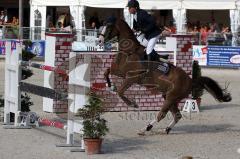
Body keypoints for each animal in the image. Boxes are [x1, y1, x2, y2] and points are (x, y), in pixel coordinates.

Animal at [100, 18, 232, 135]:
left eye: (109, 26)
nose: (100, 41)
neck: (129, 51)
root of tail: (190, 80)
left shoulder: (131, 78)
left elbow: (120, 92)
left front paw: (133, 104)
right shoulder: (119, 71)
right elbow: (106, 72)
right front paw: (110, 86)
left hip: (170, 98)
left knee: (161, 115)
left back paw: (145, 129)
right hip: (169, 98)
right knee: (177, 115)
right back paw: (165, 130)